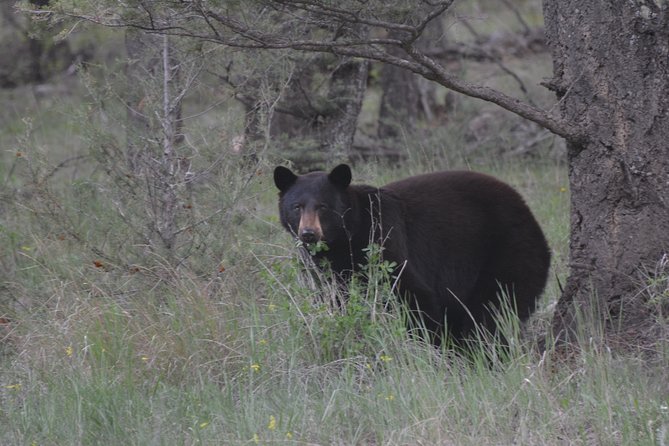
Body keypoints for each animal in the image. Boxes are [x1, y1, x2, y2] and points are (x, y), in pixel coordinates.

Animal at [272, 164, 548, 344]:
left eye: (323, 207)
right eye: (297, 207)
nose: (309, 233)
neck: (348, 236)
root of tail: (529, 214)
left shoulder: (385, 241)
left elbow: (413, 294)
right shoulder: (332, 272)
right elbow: (336, 298)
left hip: (507, 252)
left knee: (495, 310)